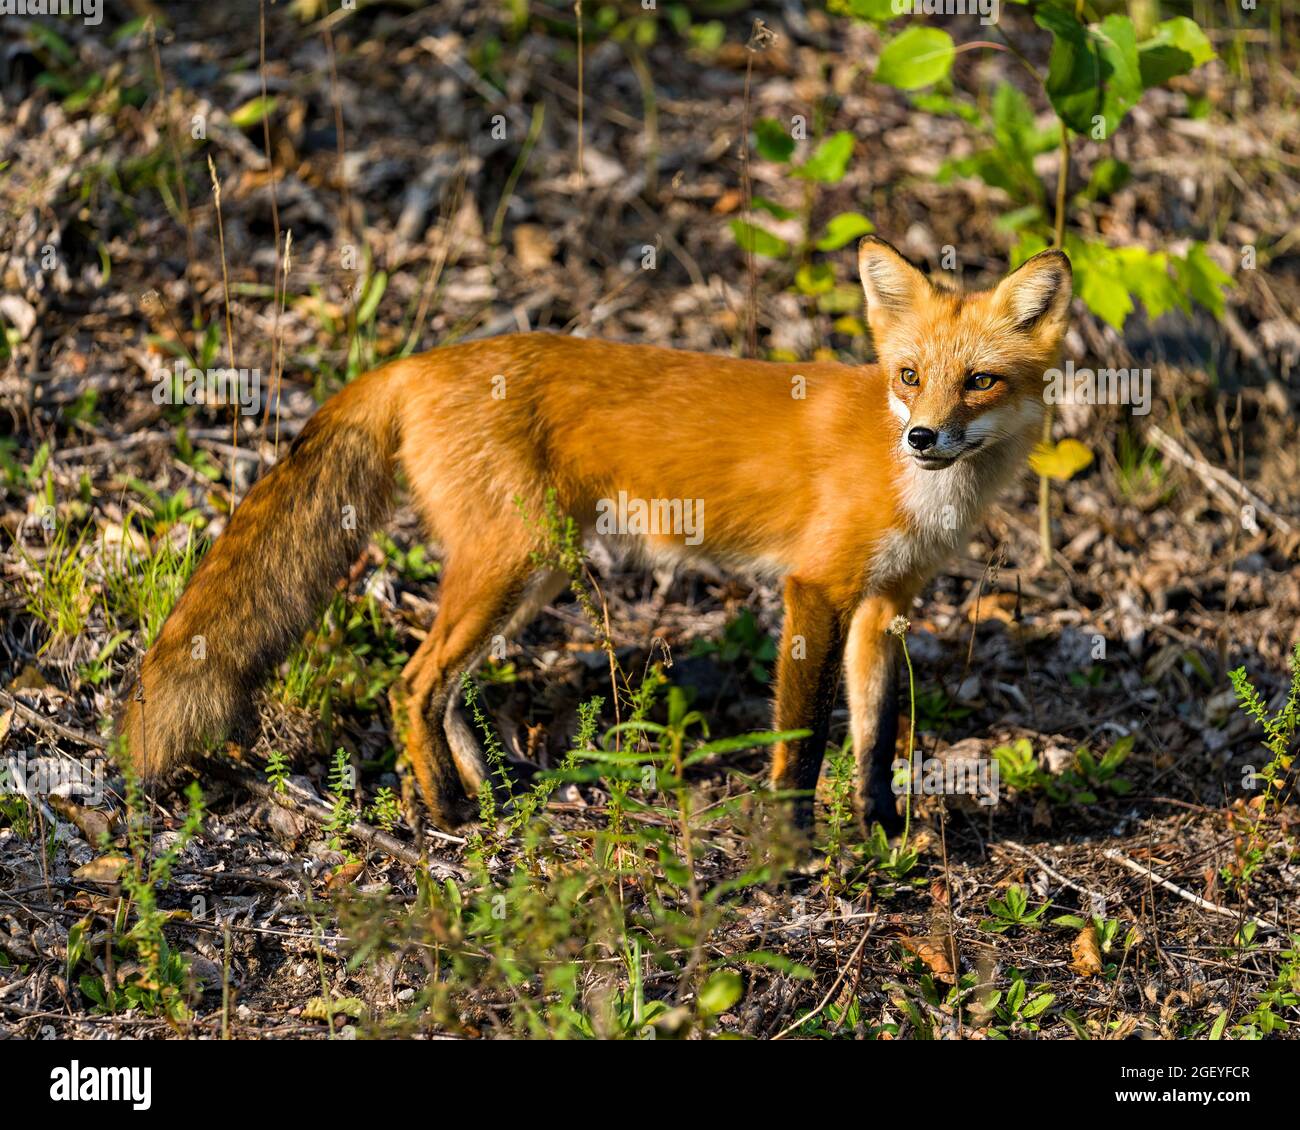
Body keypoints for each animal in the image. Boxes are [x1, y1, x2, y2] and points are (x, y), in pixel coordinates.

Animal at [115, 236, 1071, 837]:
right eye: (909, 376)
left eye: (979, 382)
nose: (924, 437)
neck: (916, 486)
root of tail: (416, 362)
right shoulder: (816, 589)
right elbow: (802, 746)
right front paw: (793, 851)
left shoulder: (884, 605)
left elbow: (875, 740)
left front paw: (879, 836)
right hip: (516, 561)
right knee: (410, 684)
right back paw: (446, 813)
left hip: (533, 571)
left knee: (445, 690)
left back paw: (484, 791)